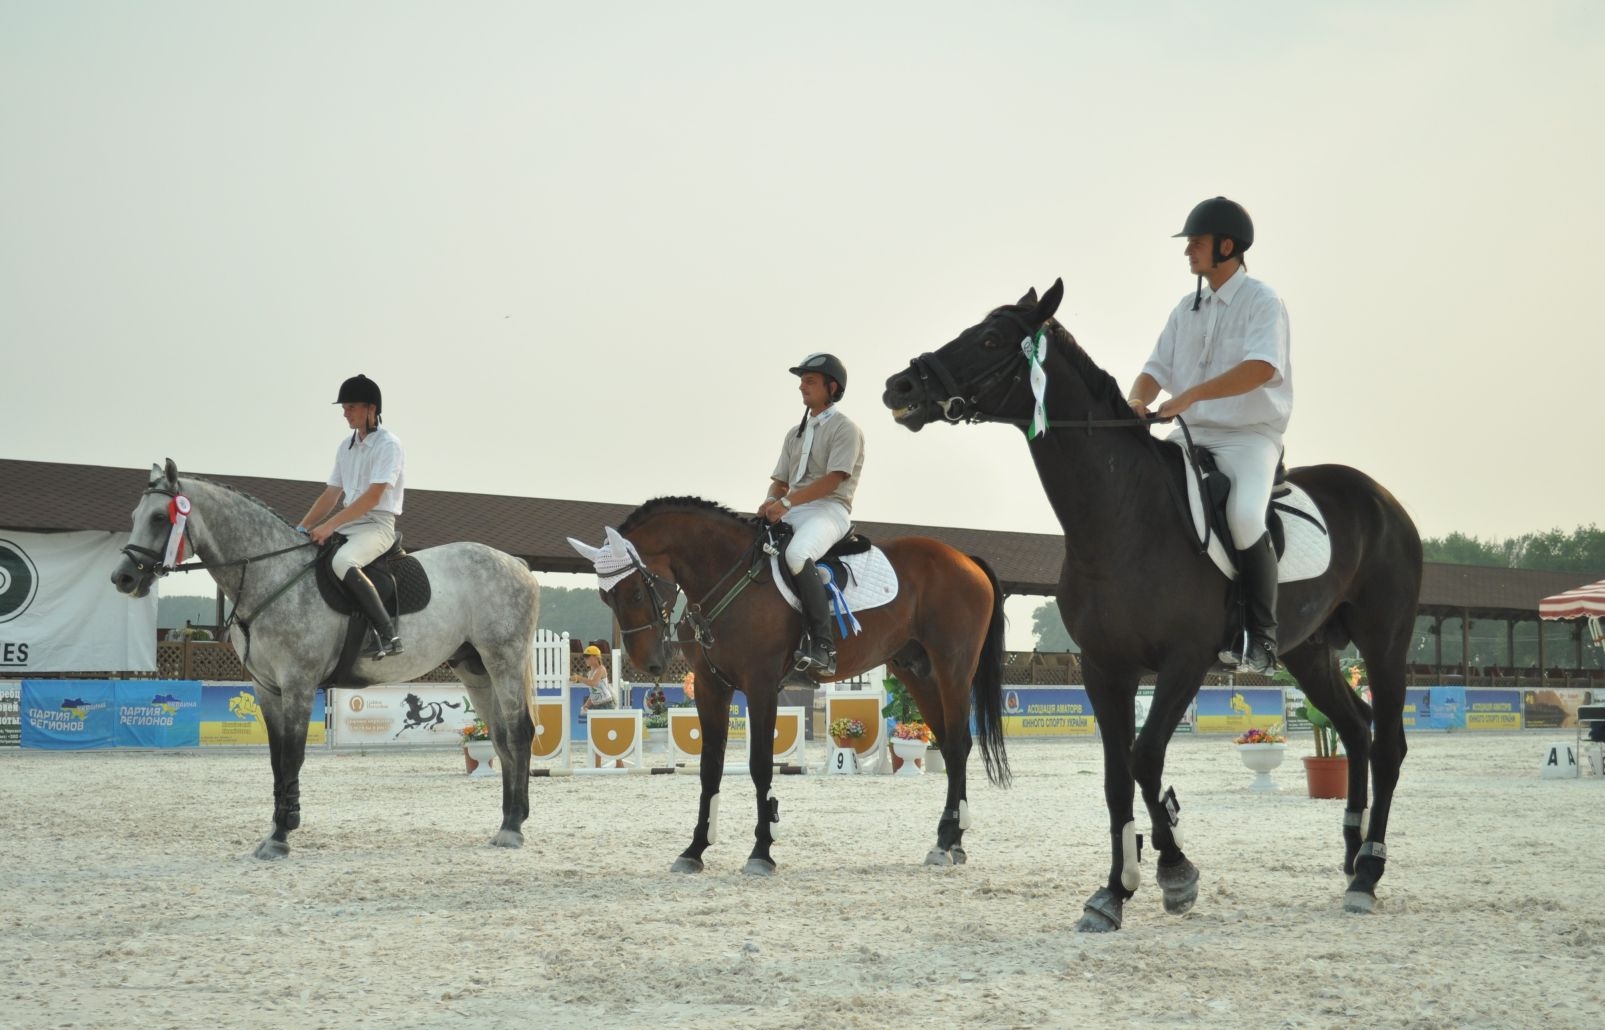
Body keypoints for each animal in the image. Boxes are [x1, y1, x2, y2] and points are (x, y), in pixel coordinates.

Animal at [111, 462, 545, 853]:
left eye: (158, 517)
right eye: (133, 516)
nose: (123, 578)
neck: (273, 574)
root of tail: (517, 564)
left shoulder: (299, 684)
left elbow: (293, 756)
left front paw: (281, 835)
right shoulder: (266, 688)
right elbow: (277, 759)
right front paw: (276, 829)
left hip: (503, 661)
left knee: (518, 733)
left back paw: (513, 829)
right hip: (475, 669)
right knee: (500, 737)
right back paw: (508, 822)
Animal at [571, 494, 1007, 872]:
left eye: (633, 592)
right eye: (605, 598)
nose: (649, 663)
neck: (725, 575)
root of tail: (964, 559)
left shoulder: (761, 684)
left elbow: (761, 765)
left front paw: (762, 851)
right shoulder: (712, 687)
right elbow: (710, 767)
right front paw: (694, 850)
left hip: (952, 669)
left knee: (959, 744)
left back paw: (948, 841)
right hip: (915, 671)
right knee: (949, 746)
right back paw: (950, 841)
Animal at [885, 279, 1425, 924]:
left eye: (991, 339)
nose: (900, 386)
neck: (1123, 517)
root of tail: (1382, 498)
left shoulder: (1184, 662)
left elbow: (1145, 759)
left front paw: (1174, 871)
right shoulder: (1103, 668)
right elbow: (1118, 775)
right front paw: (1114, 892)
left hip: (1384, 640)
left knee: (1388, 743)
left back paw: (1368, 872)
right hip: (1309, 652)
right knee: (1356, 728)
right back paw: (1351, 853)